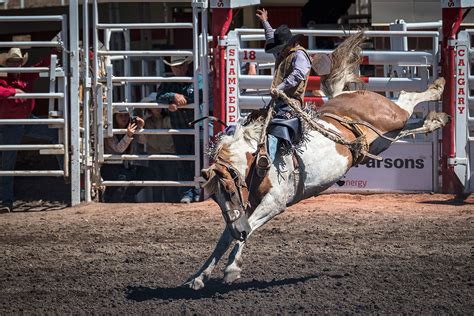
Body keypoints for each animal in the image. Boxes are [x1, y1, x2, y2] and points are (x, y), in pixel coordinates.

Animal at [184, 31, 448, 288]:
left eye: (230, 190)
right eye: (216, 198)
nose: (238, 231)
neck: (257, 156)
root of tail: (348, 94)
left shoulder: (275, 203)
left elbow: (249, 228)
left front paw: (231, 269)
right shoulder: (244, 206)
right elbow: (225, 238)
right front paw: (198, 276)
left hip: (391, 116)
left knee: (406, 98)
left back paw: (438, 87)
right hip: (386, 138)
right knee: (410, 122)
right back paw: (436, 119)